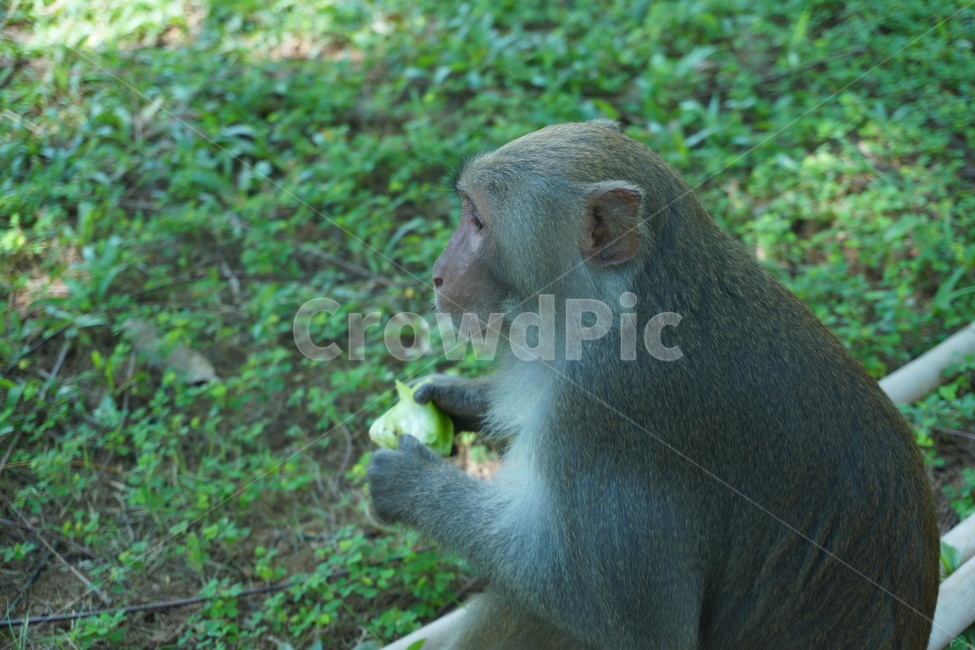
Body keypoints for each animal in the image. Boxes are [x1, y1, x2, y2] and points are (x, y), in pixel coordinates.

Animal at [367, 121, 940, 649]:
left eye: (480, 222)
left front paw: (411, 482)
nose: (439, 273)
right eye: (467, 212)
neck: (615, 311)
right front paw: (453, 397)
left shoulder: (606, 416)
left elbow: (632, 626)